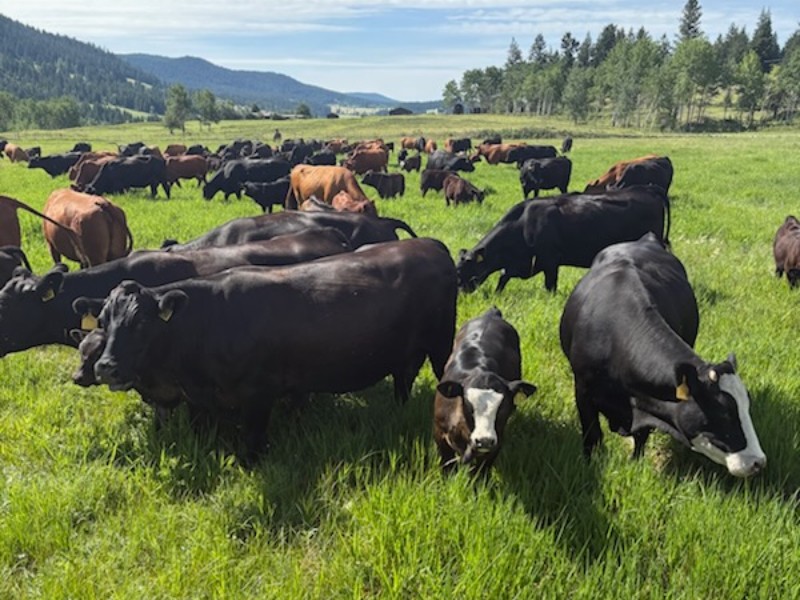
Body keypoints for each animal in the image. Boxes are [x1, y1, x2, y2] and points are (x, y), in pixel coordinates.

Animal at [85, 237, 457, 460]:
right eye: (103, 320)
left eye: (141, 323)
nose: (105, 367)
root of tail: (428, 244)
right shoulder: (200, 400)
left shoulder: (258, 394)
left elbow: (252, 441)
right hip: (407, 353)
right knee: (403, 380)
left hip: (442, 344)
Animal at [434, 307, 537, 473]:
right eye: (468, 405)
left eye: (503, 408)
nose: (484, 440)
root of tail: (491, 314)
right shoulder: (440, 435)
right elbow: (447, 466)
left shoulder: (497, 442)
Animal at [456, 186, 671, 293]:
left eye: (464, 270)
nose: (461, 293)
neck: (522, 224)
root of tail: (650, 192)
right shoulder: (523, 263)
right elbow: (503, 277)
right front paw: (497, 295)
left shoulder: (550, 260)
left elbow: (550, 285)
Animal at [559, 233, 766, 477]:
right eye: (723, 413)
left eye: (746, 407)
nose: (757, 462)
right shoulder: (582, 391)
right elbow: (592, 437)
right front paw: (589, 465)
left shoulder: (649, 399)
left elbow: (641, 436)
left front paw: (636, 464)